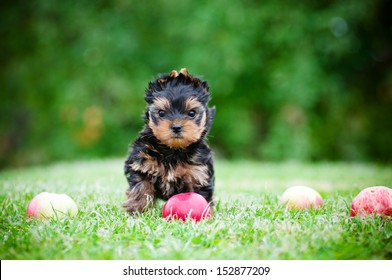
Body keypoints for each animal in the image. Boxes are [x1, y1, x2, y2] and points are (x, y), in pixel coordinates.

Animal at [123, 69, 216, 213]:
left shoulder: (198, 174)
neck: (173, 150)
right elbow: (141, 188)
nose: (176, 127)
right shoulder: (141, 165)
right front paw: (137, 209)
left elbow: (200, 195)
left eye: (191, 113)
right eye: (161, 113)